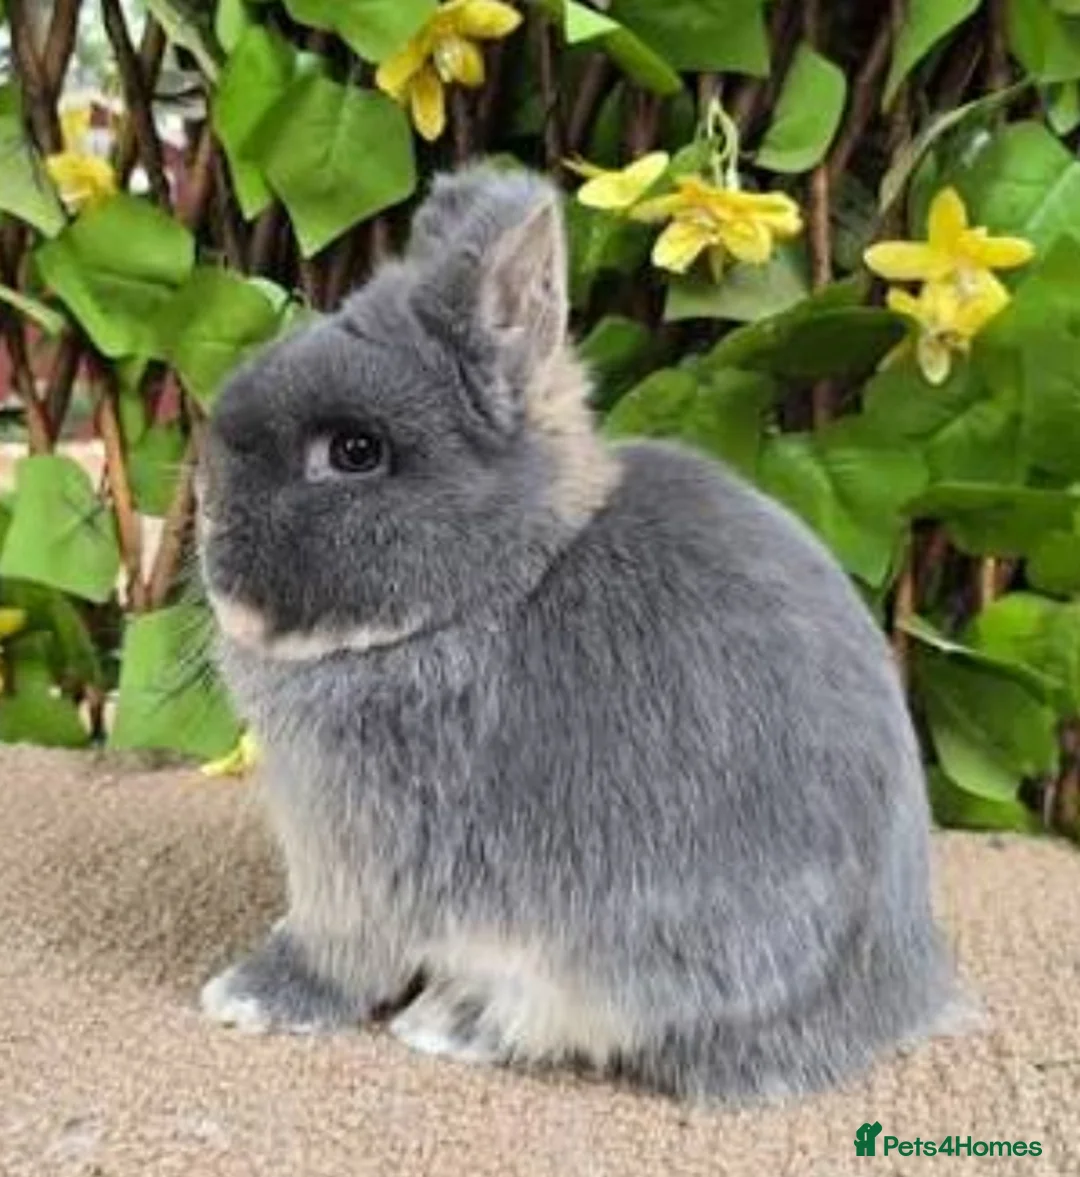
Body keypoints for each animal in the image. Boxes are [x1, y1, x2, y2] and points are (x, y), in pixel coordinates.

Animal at [196, 163, 956, 1101]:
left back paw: (447, 1021)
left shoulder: (364, 855)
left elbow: (340, 951)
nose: (209, 536)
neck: (492, 586)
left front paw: (244, 996)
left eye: (355, 451)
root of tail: (897, 1003)